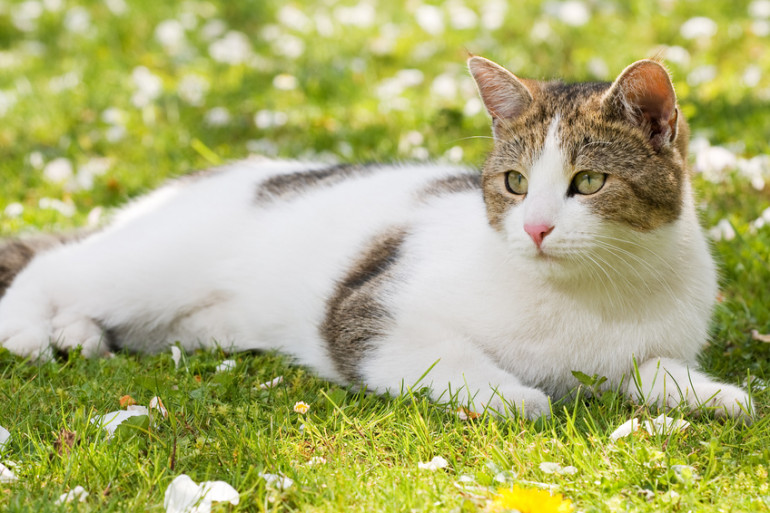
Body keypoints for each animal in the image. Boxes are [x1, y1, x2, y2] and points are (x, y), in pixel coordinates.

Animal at [0, 55, 752, 420]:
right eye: (513, 182)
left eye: (589, 181)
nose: (536, 227)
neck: (591, 292)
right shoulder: (368, 310)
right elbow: (447, 356)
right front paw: (516, 395)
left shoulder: (640, 345)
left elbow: (650, 368)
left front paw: (712, 394)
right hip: (153, 265)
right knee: (55, 267)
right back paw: (33, 330)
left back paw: (79, 334)